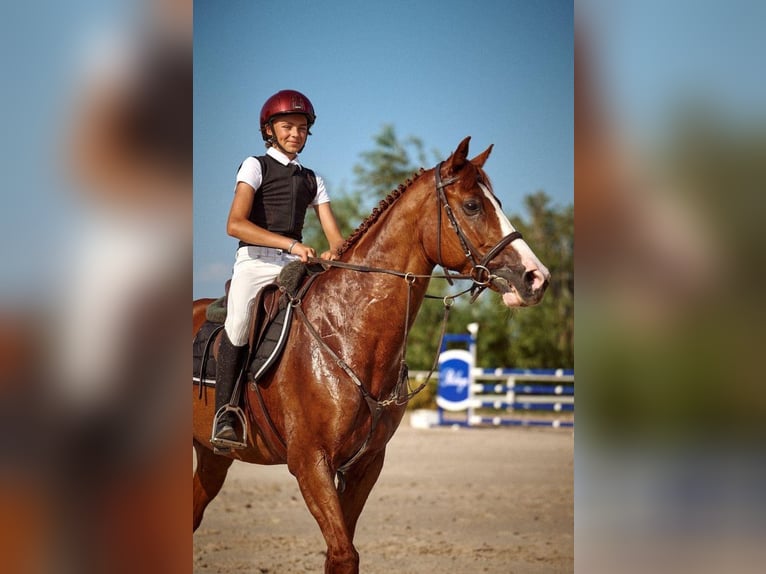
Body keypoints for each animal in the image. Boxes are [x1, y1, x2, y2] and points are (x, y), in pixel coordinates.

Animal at [192, 137, 550, 574]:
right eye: (472, 206)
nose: (536, 278)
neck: (347, 330)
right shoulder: (311, 463)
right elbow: (343, 554)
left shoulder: (366, 464)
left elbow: (342, 553)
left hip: (213, 457)